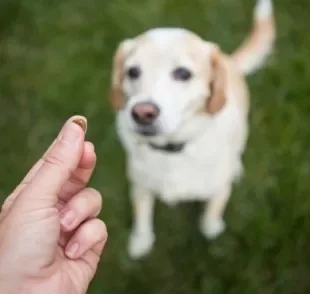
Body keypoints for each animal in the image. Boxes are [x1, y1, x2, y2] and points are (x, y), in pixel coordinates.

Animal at [109, 0, 276, 260]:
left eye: (183, 73)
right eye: (132, 72)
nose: (142, 113)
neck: (173, 149)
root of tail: (230, 61)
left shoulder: (219, 189)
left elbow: (211, 217)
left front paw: (212, 228)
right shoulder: (140, 186)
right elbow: (142, 216)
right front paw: (141, 241)